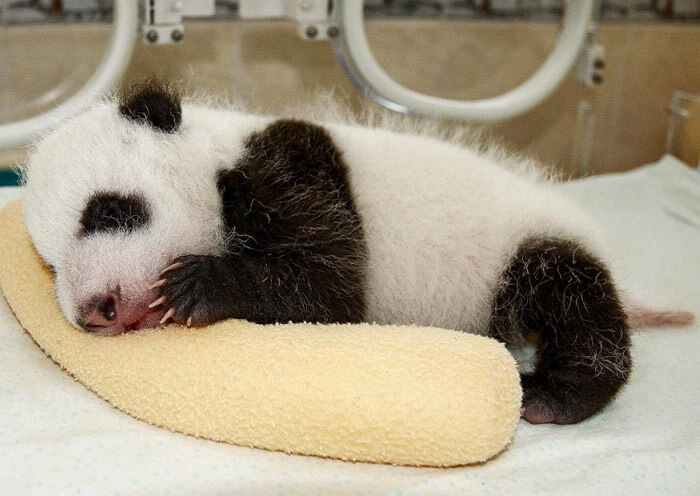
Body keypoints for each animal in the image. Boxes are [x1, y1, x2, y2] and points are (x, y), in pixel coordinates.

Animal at [21, 80, 690, 425]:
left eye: (111, 212)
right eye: (49, 264)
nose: (96, 310)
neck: (217, 151)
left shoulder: (292, 171)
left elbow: (335, 287)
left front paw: (200, 285)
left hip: (526, 243)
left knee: (571, 296)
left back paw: (557, 394)